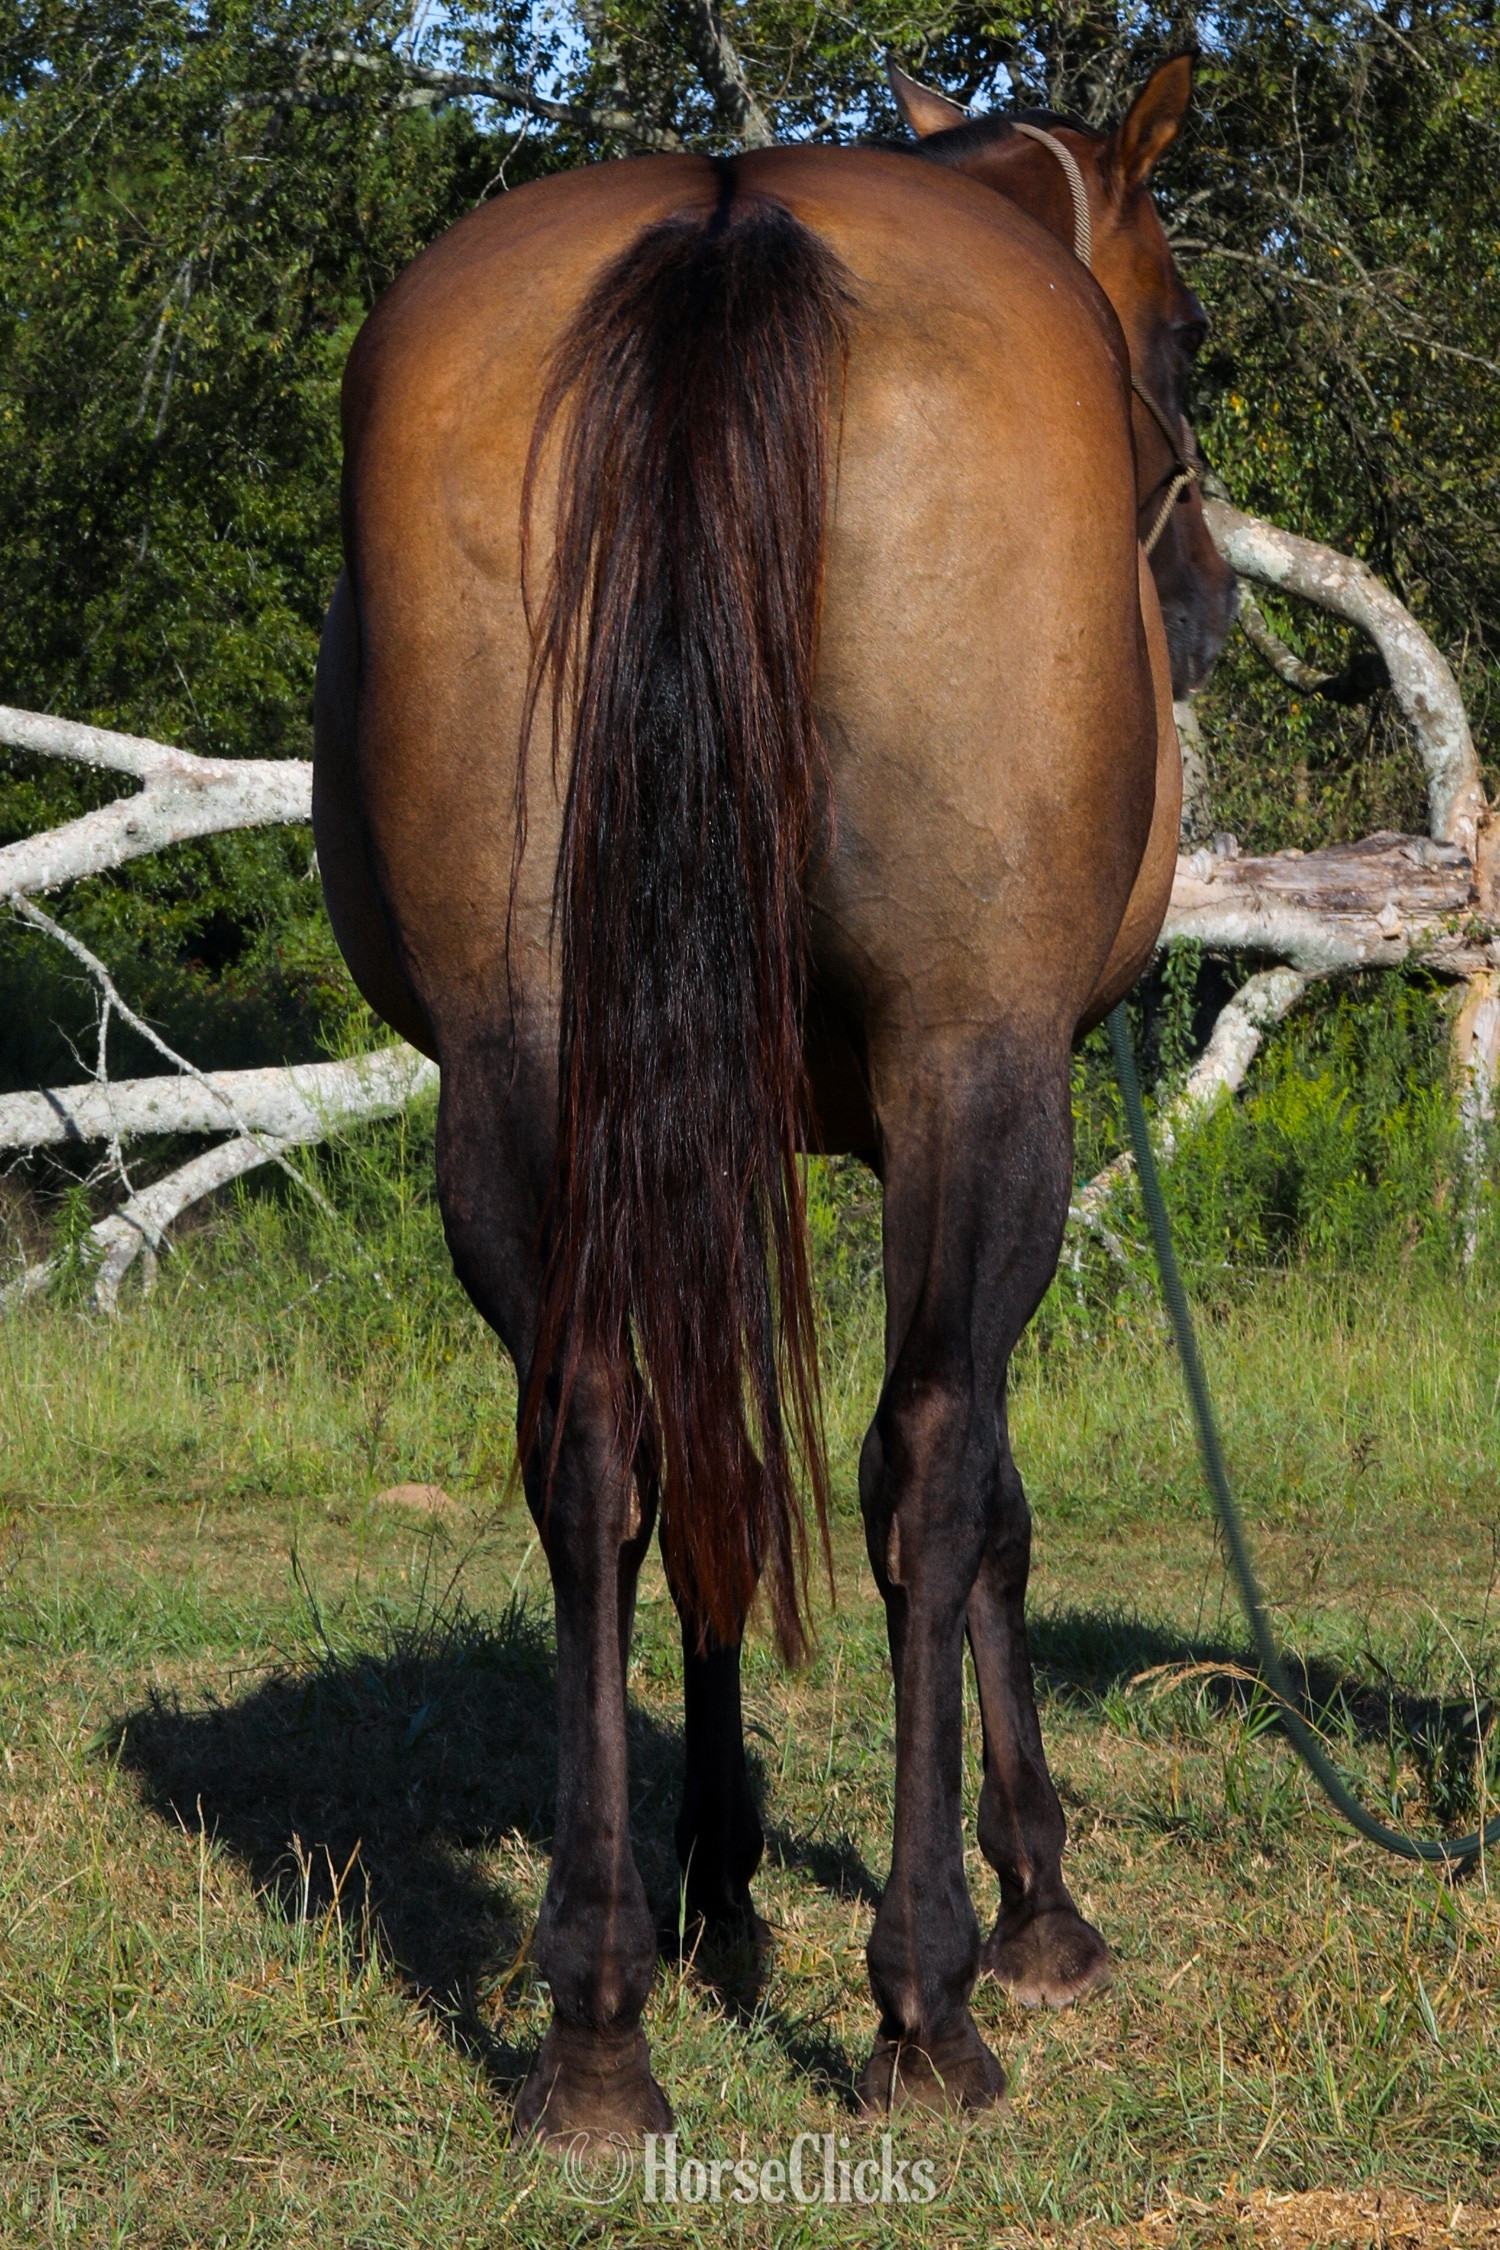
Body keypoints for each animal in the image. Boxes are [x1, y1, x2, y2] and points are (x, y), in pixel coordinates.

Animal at [312, 52, 1237, 2137]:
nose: (1208, 596)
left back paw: (598, 2019)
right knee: (929, 1468)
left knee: (600, 1447)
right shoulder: (977, 1086)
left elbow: (716, 1466)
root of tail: (729, 229)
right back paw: (930, 1999)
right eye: (1186, 333)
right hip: (976, 1079)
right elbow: (987, 1496)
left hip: (531, 1070)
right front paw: (1036, 1896)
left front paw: (716, 1886)